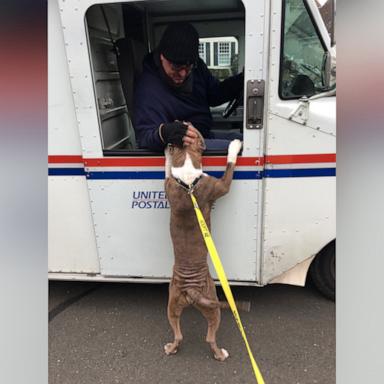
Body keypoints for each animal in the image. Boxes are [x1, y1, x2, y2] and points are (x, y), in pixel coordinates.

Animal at [163, 136, 242, 362]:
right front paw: (235, 146)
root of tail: (191, 289)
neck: (188, 181)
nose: (169, 142)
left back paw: (171, 348)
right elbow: (230, 164)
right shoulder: (221, 185)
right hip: (213, 305)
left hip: (172, 305)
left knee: (178, 334)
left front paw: (168, 155)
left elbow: (167, 169)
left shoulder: (168, 184)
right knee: (210, 338)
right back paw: (220, 354)